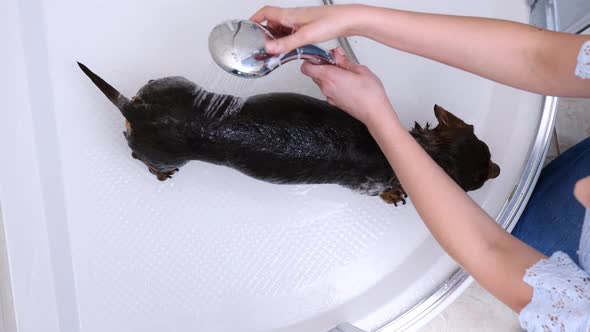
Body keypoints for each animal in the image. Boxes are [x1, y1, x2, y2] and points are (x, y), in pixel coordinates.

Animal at [78, 62, 502, 205]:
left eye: (485, 149)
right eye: (477, 181)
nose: (499, 170)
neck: (418, 149)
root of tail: (135, 108)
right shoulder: (369, 185)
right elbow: (382, 192)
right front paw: (395, 195)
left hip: (171, 84)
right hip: (159, 152)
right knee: (141, 157)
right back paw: (161, 172)